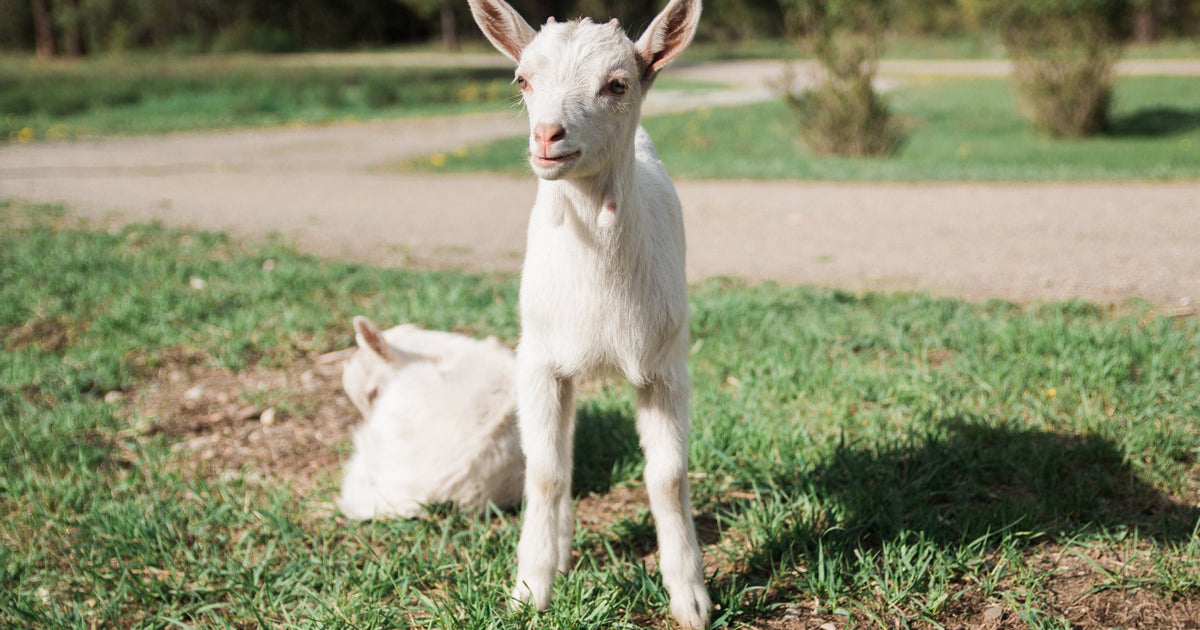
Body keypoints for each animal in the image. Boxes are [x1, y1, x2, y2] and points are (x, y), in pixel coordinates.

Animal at [467, 1, 710, 627]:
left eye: (616, 84)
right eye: (522, 80)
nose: (547, 135)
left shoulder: (666, 365)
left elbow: (668, 477)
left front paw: (691, 598)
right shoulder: (538, 362)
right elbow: (546, 472)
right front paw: (530, 589)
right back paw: (557, 550)